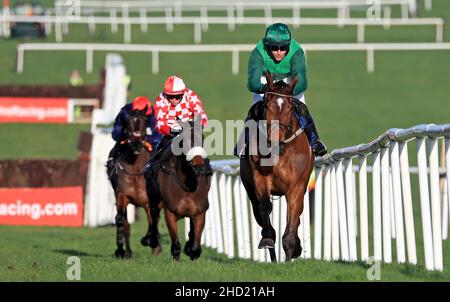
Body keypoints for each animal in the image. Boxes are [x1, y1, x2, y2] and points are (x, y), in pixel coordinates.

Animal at [108, 105, 162, 258]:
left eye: (144, 125)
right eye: (128, 126)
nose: (137, 145)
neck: (136, 171)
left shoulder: (150, 201)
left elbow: (153, 220)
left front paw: (150, 241)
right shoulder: (121, 196)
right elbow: (121, 220)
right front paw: (121, 250)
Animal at [146, 117, 213, 260]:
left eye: (202, 138)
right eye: (185, 141)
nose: (199, 167)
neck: (188, 185)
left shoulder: (200, 212)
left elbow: (196, 244)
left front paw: (192, 250)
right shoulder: (170, 212)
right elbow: (175, 244)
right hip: (153, 198)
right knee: (153, 215)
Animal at [239, 71, 312, 262]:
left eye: (289, 107)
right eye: (267, 105)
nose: (275, 142)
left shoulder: (297, 187)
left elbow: (293, 217)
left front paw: (292, 251)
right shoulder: (260, 178)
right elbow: (265, 207)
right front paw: (268, 239)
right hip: (250, 190)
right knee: (259, 212)